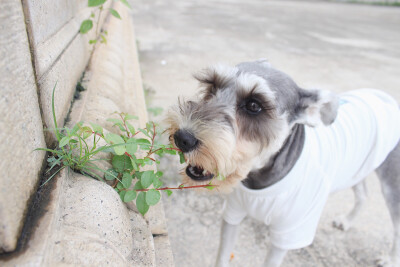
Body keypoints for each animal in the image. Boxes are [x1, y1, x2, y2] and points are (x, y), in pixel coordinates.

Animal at [166, 60, 400, 267]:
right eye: (212, 87)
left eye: (254, 105)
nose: (182, 138)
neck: (258, 180)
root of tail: (386, 97)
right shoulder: (232, 214)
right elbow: (223, 255)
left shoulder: (287, 236)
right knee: (362, 194)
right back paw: (347, 221)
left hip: (391, 185)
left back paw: (389, 259)